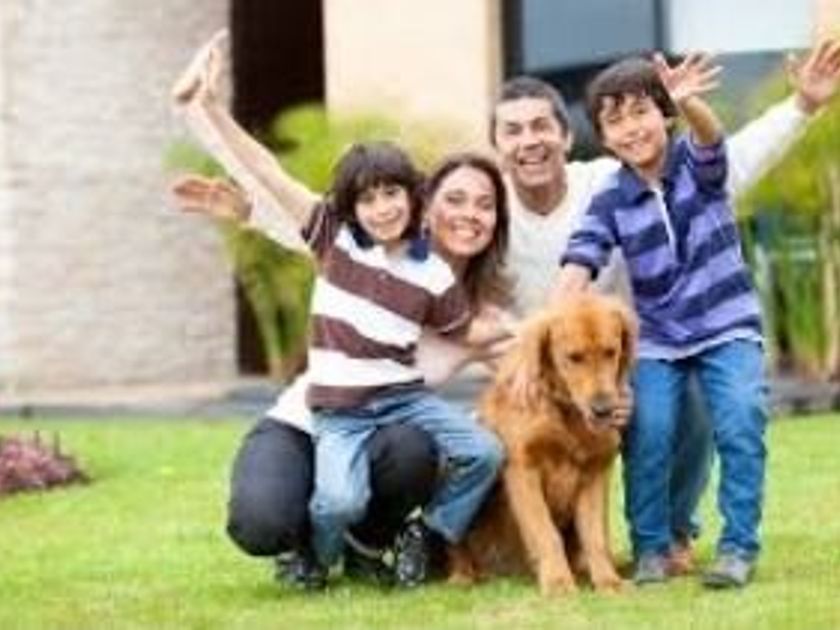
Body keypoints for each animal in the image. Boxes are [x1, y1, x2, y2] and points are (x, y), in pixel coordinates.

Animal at [449, 293, 637, 596]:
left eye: (611, 352)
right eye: (574, 357)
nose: (603, 410)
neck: (566, 412)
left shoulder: (595, 471)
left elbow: (595, 535)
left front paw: (608, 581)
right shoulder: (523, 470)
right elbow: (545, 533)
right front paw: (558, 582)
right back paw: (463, 576)